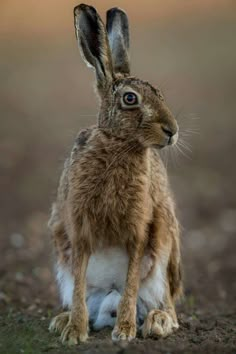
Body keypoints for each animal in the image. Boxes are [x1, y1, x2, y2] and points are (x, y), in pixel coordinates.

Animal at [48, 4, 183, 344]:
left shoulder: (140, 230)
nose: (172, 131)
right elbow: (79, 285)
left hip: (165, 246)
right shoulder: (79, 228)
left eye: (161, 93)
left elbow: (132, 282)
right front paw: (74, 333)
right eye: (130, 99)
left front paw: (124, 332)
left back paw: (156, 322)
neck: (118, 145)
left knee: (166, 305)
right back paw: (63, 320)